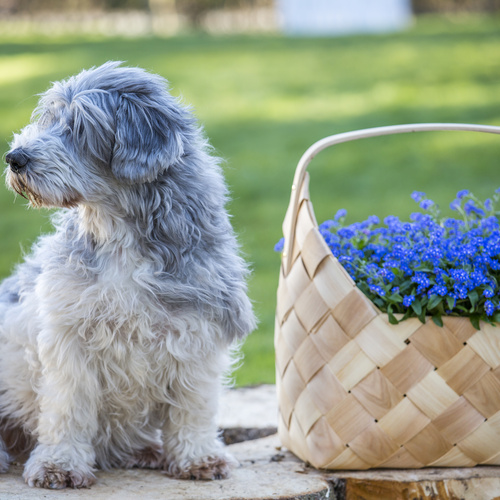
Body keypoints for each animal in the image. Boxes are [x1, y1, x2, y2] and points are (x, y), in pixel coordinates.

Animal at [0, 61, 256, 488]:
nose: (13, 158)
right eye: (49, 118)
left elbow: (194, 406)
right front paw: (59, 464)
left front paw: (198, 457)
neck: (120, 234)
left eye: (80, 127)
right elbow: (67, 409)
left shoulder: (198, 332)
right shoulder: (69, 338)